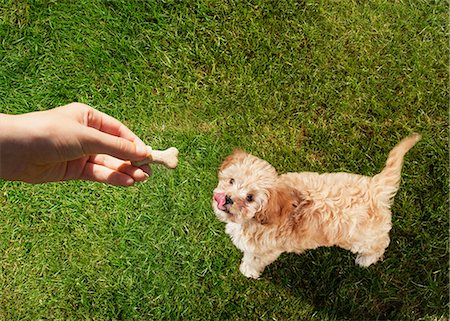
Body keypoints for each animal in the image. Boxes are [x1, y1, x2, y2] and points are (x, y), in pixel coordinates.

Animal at [213, 132, 420, 278]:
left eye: (250, 197)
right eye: (231, 181)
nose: (227, 198)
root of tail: (376, 187)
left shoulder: (263, 250)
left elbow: (253, 260)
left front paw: (247, 271)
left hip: (364, 238)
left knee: (380, 244)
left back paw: (366, 260)